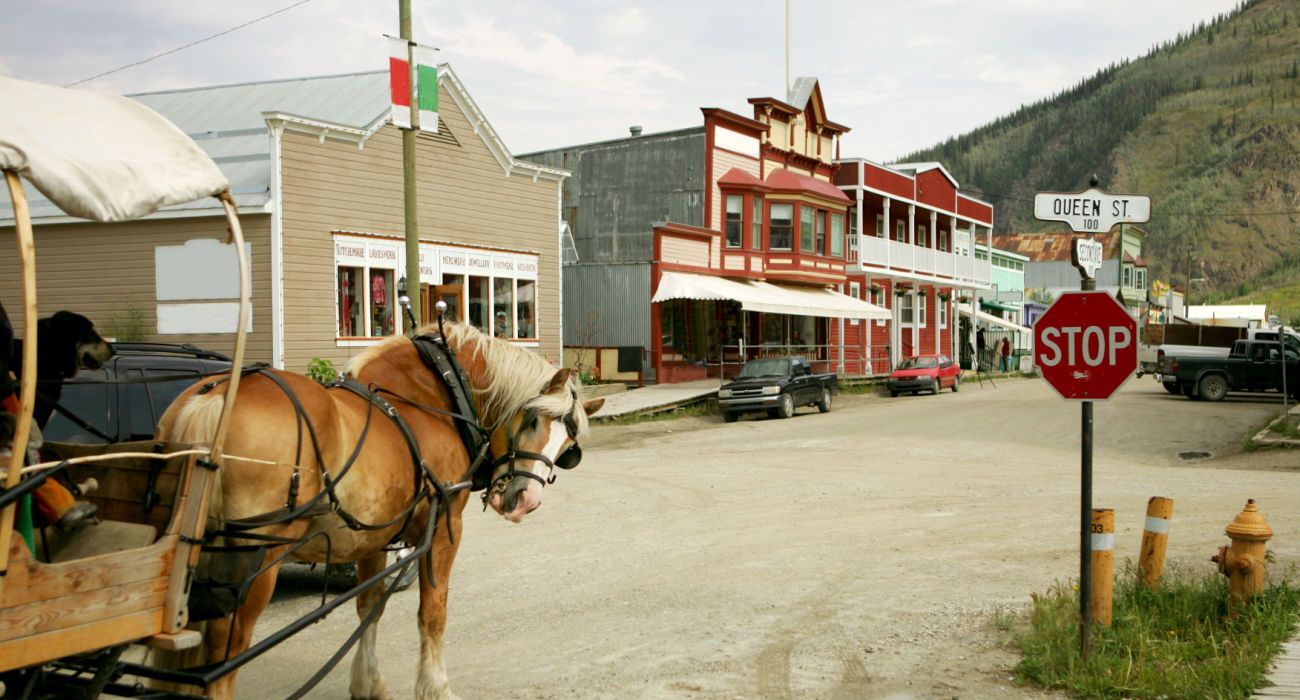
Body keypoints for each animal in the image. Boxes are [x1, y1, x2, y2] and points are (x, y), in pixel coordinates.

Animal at [150, 321, 603, 697]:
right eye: (532, 420)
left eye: (567, 446)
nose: (526, 500)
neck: (431, 396)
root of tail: (213, 398)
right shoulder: (444, 527)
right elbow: (432, 612)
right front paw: (435, 688)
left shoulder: (371, 536)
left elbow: (370, 607)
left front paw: (368, 683)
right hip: (252, 562)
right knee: (222, 655)